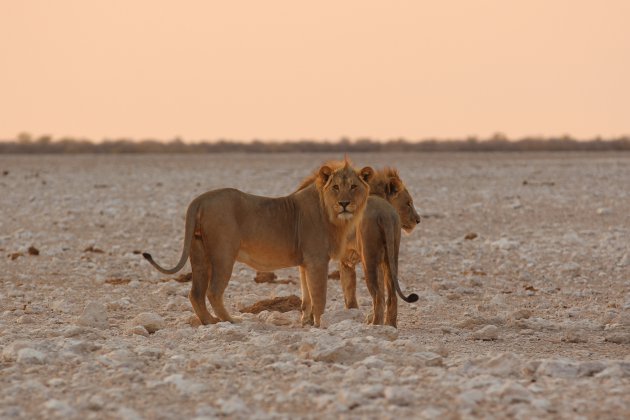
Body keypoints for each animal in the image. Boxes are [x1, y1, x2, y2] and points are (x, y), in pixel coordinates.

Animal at [143, 161, 372, 328]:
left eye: (353, 186)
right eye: (336, 187)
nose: (344, 203)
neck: (333, 216)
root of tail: (200, 199)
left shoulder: (305, 263)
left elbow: (306, 294)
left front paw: (306, 322)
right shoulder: (317, 260)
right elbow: (319, 294)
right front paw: (320, 324)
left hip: (198, 252)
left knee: (196, 293)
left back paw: (209, 322)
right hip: (223, 254)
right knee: (213, 291)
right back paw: (230, 320)